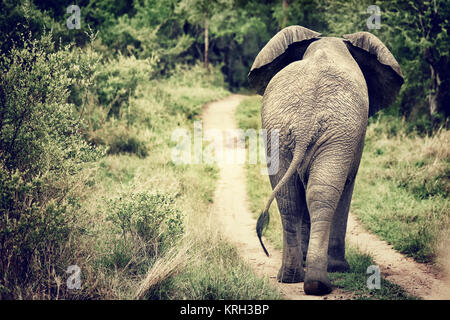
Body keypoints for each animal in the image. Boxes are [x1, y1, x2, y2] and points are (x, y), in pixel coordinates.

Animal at [250, 25, 404, 296]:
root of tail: (306, 114)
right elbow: (347, 186)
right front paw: (340, 268)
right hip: (337, 134)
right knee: (322, 193)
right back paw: (318, 283)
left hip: (278, 131)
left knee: (290, 197)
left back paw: (291, 277)